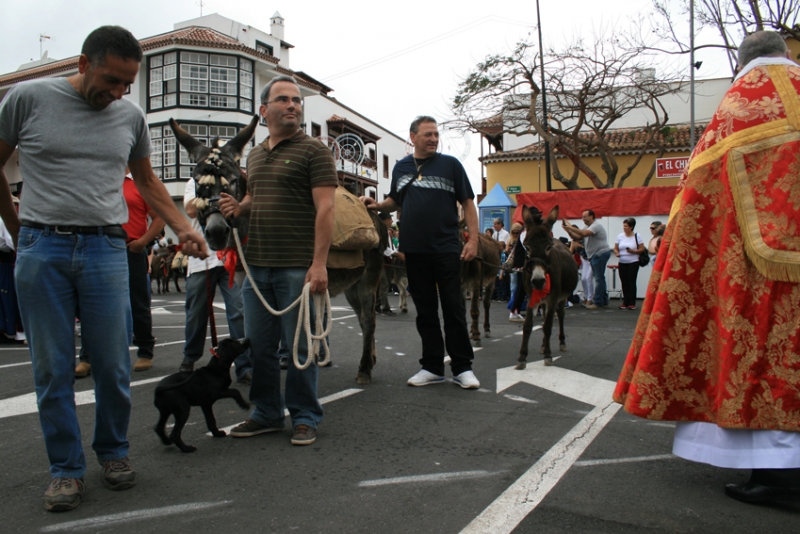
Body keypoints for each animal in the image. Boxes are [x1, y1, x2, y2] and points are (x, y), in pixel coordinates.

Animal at [170, 116, 387, 385]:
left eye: (232, 180)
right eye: (197, 181)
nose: (217, 231)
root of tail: (373, 215)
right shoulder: (247, 285)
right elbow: (250, 326)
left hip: (368, 279)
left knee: (368, 319)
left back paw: (364, 368)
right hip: (351, 286)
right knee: (364, 319)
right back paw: (370, 360)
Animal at [515, 205, 579, 369]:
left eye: (548, 247)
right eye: (527, 246)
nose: (538, 281)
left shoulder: (553, 299)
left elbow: (548, 326)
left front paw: (549, 356)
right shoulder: (532, 298)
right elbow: (528, 326)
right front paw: (522, 357)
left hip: (562, 298)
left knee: (560, 315)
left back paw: (561, 342)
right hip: (543, 300)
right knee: (544, 318)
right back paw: (543, 346)